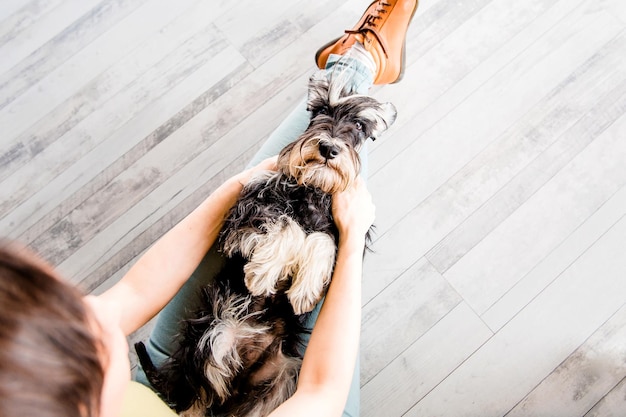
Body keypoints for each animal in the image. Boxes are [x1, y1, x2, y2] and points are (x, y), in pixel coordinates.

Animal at [138, 69, 394, 416]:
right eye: (321, 110)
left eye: (358, 126)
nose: (328, 148)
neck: (313, 191)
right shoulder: (243, 217)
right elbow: (287, 224)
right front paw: (263, 273)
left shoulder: (347, 232)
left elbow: (323, 238)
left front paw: (304, 289)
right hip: (214, 334)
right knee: (199, 396)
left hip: (279, 381)